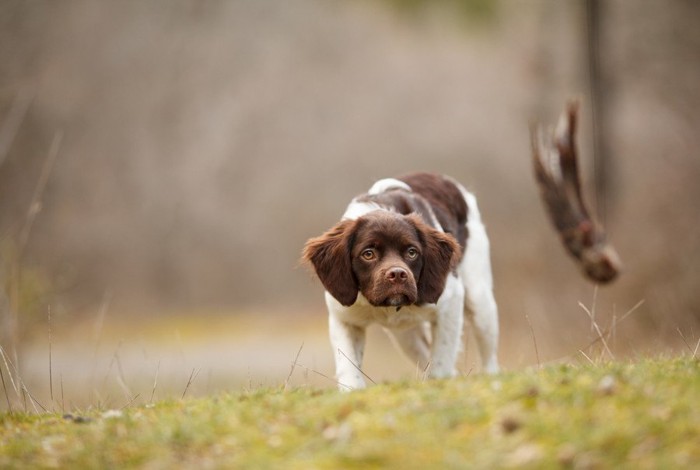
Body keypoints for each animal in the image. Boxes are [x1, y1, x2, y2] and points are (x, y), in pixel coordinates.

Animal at [304, 173, 500, 390]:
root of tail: (443, 178)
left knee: (489, 359)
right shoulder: (343, 316)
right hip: (406, 336)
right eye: (368, 254)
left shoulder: (451, 302)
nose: (398, 274)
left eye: (412, 252)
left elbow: (442, 358)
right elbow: (348, 364)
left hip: (479, 302)